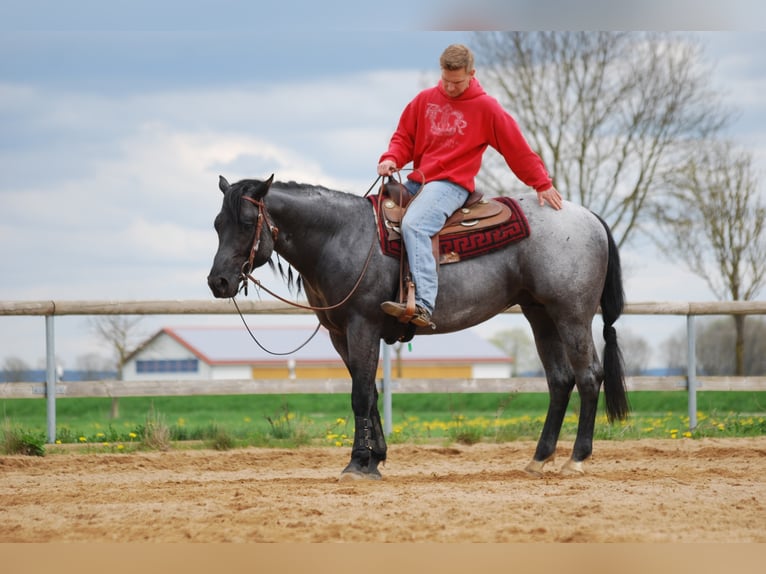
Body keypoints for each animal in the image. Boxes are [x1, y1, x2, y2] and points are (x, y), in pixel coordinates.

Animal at [207, 177, 628, 482]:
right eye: (216, 224)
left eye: (247, 223)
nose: (218, 282)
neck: (341, 238)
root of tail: (587, 216)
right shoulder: (340, 334)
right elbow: (370, 393)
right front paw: (375, 459)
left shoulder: (362, 326)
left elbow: (361, 395)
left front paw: (357, 464)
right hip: (539, 314)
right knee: (559, 380)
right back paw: (539, 459)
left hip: (571, 314)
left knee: (588, 376)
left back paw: (576, 459)